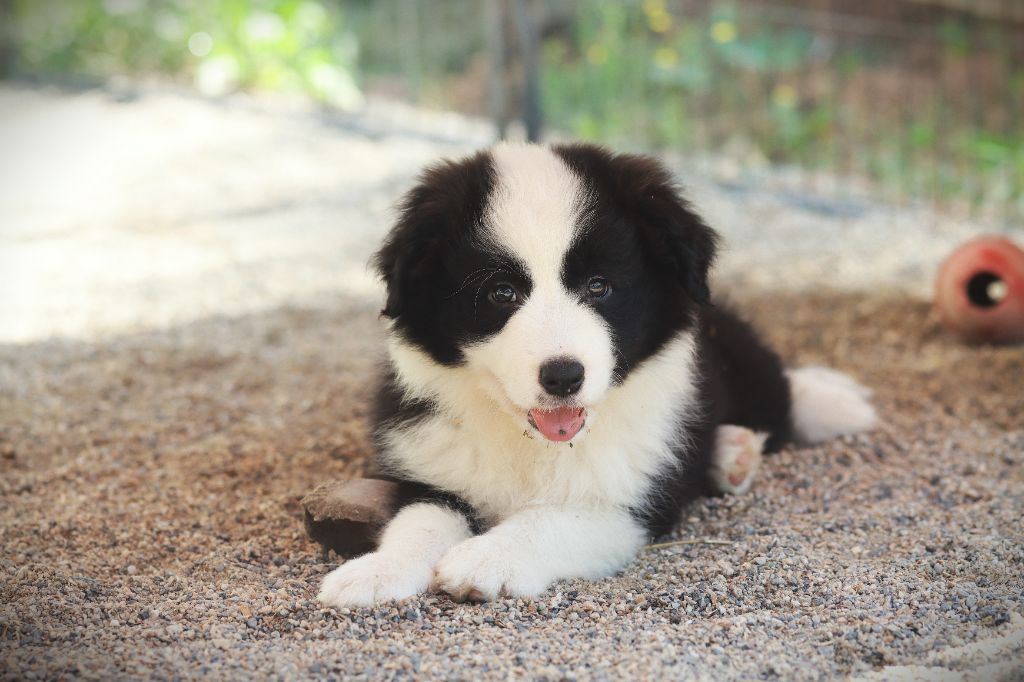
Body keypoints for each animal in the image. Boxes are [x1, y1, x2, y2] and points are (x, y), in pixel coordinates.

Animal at [317, 142, 872, 606]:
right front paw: (376, 572)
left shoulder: (630, 507)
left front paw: (486, 558)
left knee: (781, 397)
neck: (534, 445)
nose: (563, 377)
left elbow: (552, 518)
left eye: (599, 286)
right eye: (500, 293)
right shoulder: (426, 467)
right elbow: (419, 519)